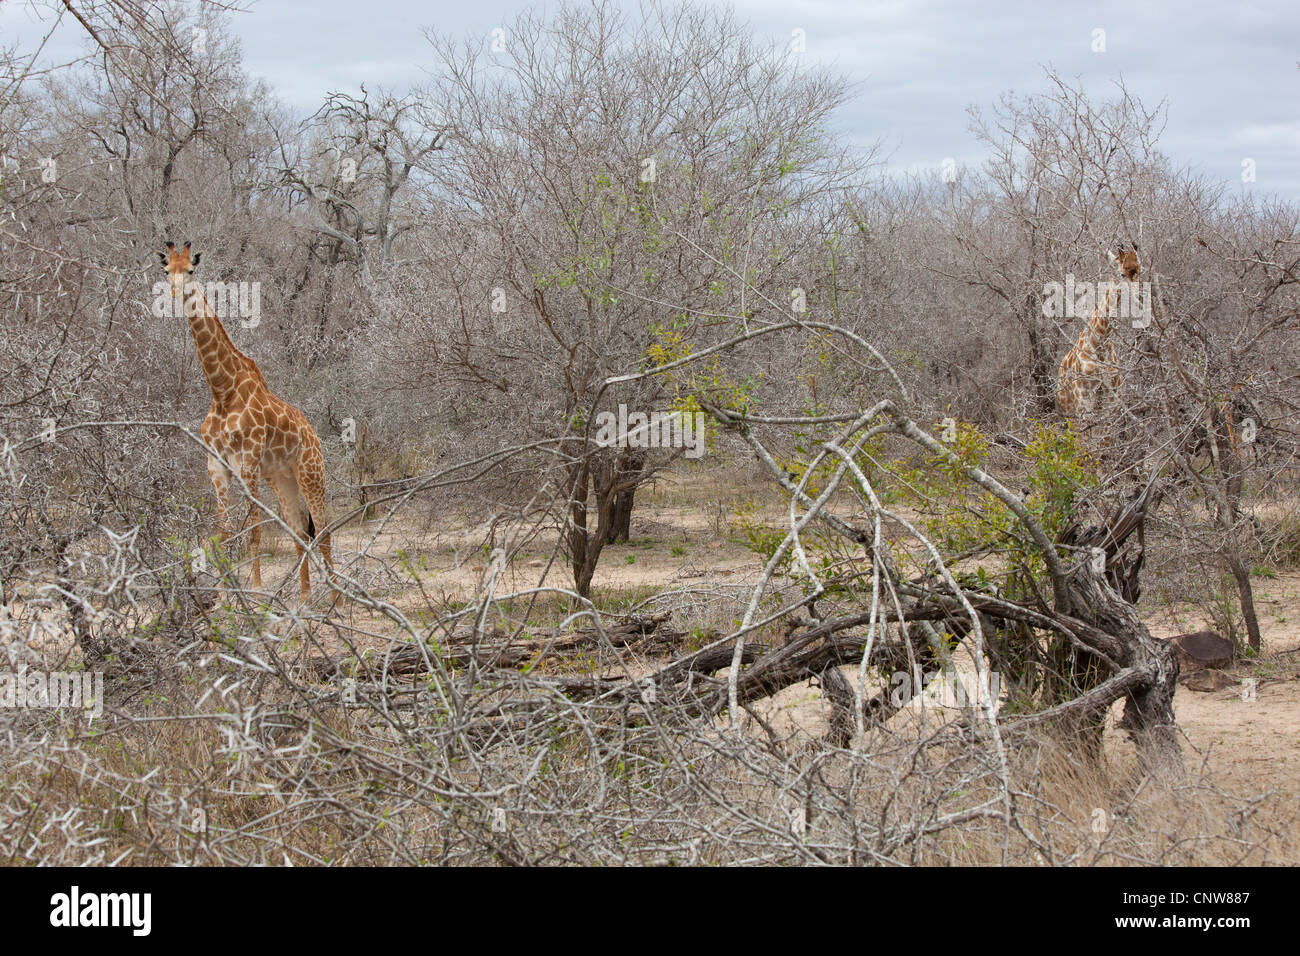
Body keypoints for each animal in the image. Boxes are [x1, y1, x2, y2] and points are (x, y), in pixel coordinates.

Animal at [159, 243, 335, 600]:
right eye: (166, 270)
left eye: (191, 271)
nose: (175, 293)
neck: (222, 390)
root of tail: (313, 435)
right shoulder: (216, 464)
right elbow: (224, 532)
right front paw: (224, 597)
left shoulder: (248, 460)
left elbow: (253, 530)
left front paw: (254, 590)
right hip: (282, 478)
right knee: (299, 530)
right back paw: (305, 598)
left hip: (311, 472)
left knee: (323, 530)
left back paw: (339, 599)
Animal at [1055, 244, 1138, 429]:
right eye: (1121, 273)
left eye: (1139, 270)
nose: (1139, 296)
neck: (1100, 341)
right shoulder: (1084, 400)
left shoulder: (1111, 401)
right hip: (1071, 411)